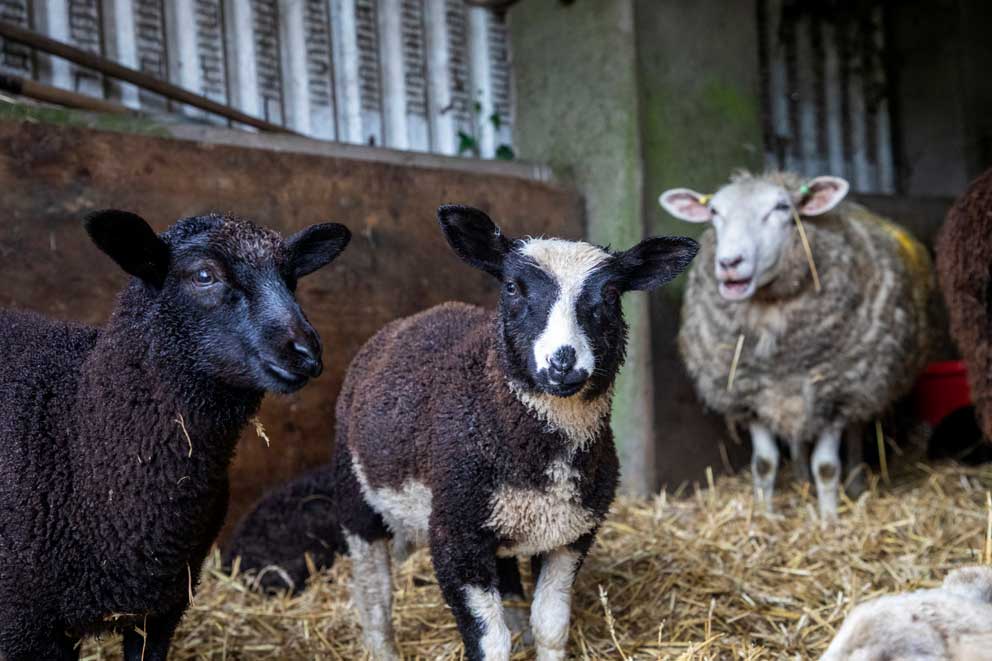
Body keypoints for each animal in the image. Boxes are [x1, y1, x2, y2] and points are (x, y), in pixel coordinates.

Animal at [660, 171, 933, 519]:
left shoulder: (834, 395)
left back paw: (854, 484)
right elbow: (764, 464)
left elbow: (827, 467)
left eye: (781, 208)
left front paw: (828, 519)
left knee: (855, 435)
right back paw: (802, 480)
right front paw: (764, 514)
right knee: (798, 439)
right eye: (713, 212)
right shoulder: (750, 396)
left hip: (861, 384)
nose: (730, 262)